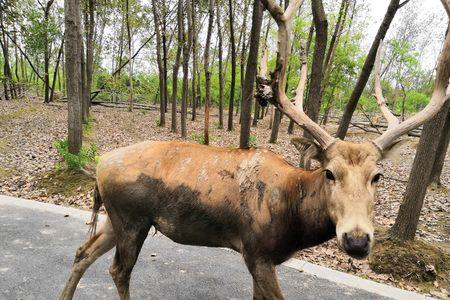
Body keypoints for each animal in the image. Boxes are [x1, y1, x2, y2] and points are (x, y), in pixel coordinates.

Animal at [59, 0, 450, 300]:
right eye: (329, 172)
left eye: (377, 176)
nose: (356, 240)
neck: (294, 218)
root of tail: (100, 164)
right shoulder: (257, 250)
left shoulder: (266, 258)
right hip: (132, 217)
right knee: (118, 270)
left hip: (116, 217)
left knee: (82, 252)